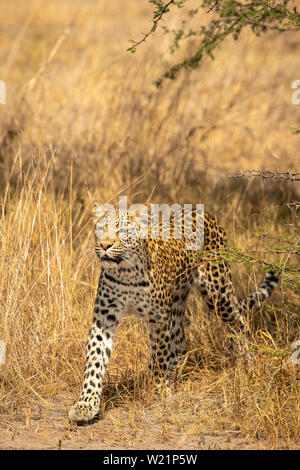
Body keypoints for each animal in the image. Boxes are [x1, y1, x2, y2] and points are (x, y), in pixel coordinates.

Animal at [68, 204, 278, 424]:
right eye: (100, 229)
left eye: (122, 231)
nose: (104, 245)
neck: (125, 272)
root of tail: (205, 214)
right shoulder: (104, 318)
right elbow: (94, 361)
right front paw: (86, 404)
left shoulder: (159, 318)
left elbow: (159, 356)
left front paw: (158, 391)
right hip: (178, 300)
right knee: (180, 343)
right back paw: (174, 375)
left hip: (218, 292)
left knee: (239, 319)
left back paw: (245, 360)